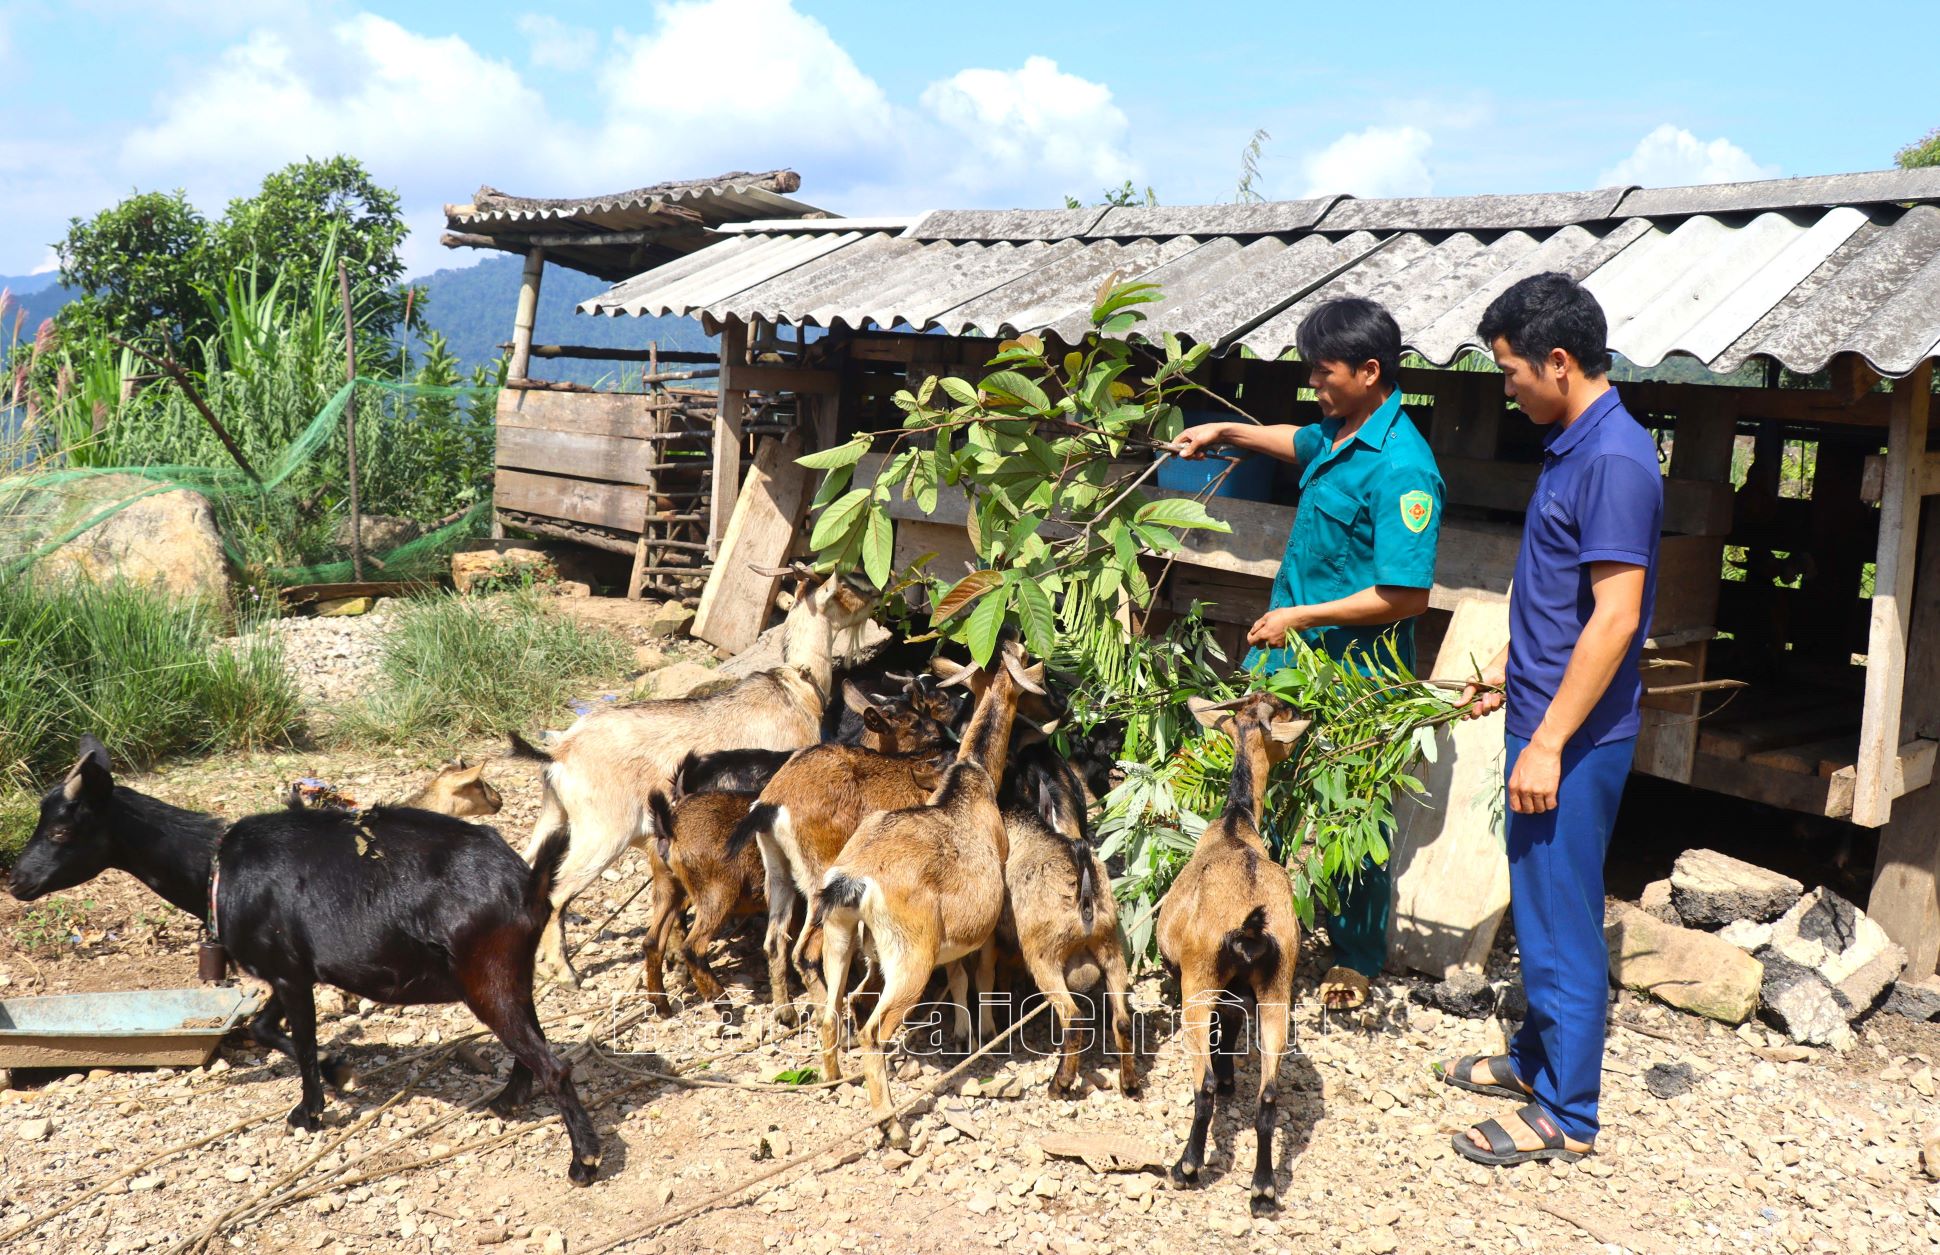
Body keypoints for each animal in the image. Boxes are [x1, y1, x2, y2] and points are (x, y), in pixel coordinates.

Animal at [9, 740, 597, 1194]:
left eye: (61, 833)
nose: (15, 881)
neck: (215, 866)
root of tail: (529, 883)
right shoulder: (287, 967)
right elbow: (265, 1028)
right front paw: (341, 1070)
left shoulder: (291, 974)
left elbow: (301, 1041)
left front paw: (308, 1112)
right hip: (510, 973)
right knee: (531, 1043)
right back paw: (507, 1102)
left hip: (485, 974)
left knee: (553, 1064)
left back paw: (584, 1160)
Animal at [508, 574, 873, 985]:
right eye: (844, 590)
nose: (876, 599)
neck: (797, 688)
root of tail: (559, 752)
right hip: (600, 833)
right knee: (556, 894)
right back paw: (564, 970)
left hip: (554, 815)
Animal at [810, 643, 1047, 1140]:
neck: (970, 780)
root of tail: (856, 879)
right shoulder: (987, 921)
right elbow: (982, 975)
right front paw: (984, 1034)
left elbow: (957, 977)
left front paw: (961, 1033)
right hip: (910, 956)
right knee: (873, 1031)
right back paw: (893, 1127)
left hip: (840, 935)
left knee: (832, 1009)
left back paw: (833, 1080)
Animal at [1156, 690, 1311, 1210]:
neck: (1235, 822)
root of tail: (1250, 925)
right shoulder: (1244, 990)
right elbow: (1233, 1026)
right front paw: (1230, 1079)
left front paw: (1223, 1080)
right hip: (1279, 984)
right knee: (1269, 1095)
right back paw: (1263, 1188)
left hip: (1198, 980)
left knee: (1200, 1085)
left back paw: (1185, 1166)